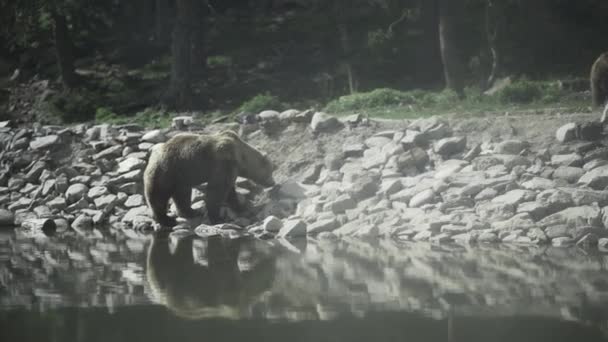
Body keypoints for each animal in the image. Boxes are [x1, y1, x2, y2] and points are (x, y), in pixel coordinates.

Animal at [144, 131, 274, 227]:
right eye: (271, 171)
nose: (273, 182)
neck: (240, 156)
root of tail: (152, 156)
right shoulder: (223, 162)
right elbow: (216, 190)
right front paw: (218, 218)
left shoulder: (230, 168)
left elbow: (229, 190)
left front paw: (241, 207)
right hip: (166, 171)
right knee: (159, 196)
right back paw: (166, 219)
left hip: (181, 176)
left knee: (182, 195)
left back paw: (192, 212)